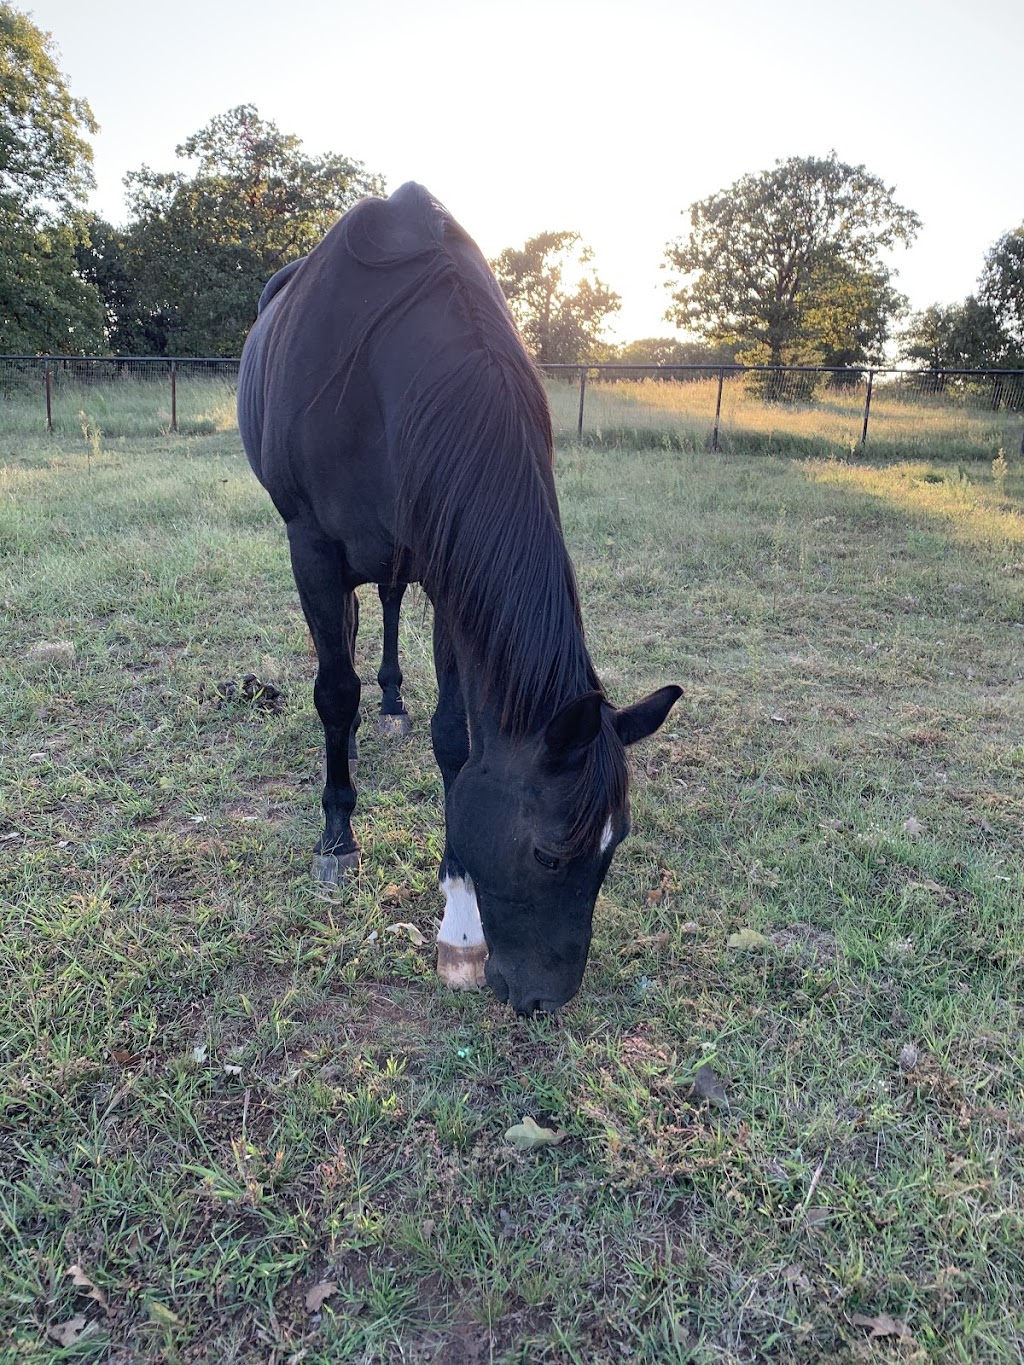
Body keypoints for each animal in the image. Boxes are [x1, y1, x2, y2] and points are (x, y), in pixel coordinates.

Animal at [240, 181, 682, 1015]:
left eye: (617, 849)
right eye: (549, 853)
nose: (544, 1000)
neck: (383, 374)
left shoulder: (447, 567)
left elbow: (455, 735)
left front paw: (461, 922)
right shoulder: (310, 541)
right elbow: (332, 688)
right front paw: (337, 836)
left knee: (381, 606)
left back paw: (387, 705)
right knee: (342, 648)